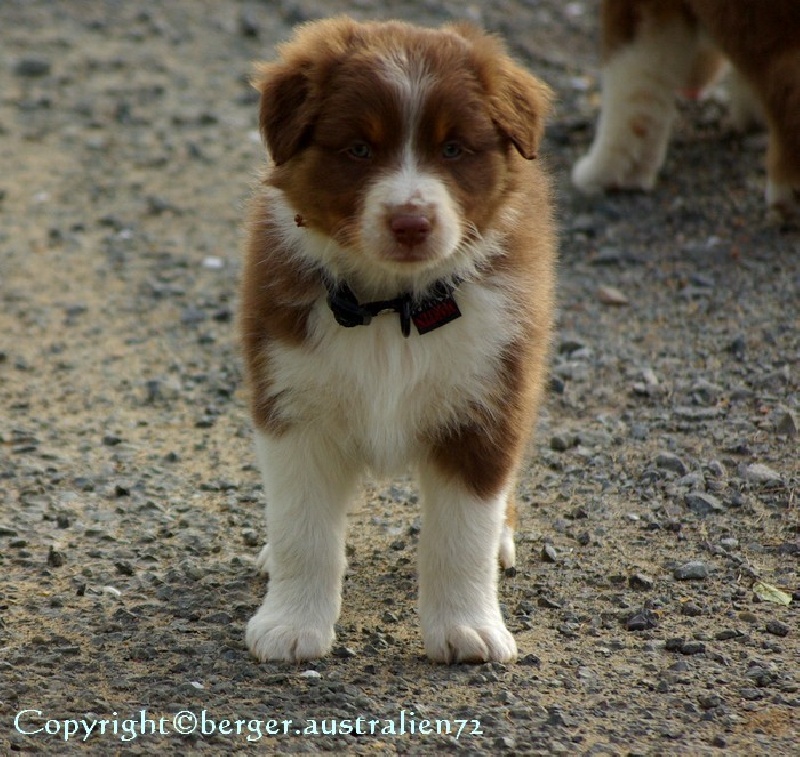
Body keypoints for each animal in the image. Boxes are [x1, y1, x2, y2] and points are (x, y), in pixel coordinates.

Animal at [239, 17, 556, 664]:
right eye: (359, 149)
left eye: (453, 149)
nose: (411, 222)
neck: (394, 306)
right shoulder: (292, 404)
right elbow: (304, 529)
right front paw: (290, 626)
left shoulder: (487, 402)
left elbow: (462, 537)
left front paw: (468, 630)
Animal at [572, 0, 800, 220]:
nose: (692, 90)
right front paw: (751, 115)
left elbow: (632, 75)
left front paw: (601, 173)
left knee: (785, 85)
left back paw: (784, 193)